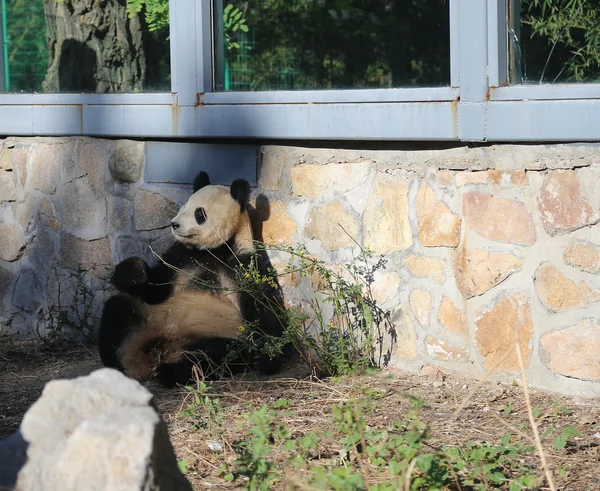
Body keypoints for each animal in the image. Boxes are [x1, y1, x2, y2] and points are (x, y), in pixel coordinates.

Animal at [96, 173, 288, 388]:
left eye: (199, 213)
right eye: (184, 206)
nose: (174, 224)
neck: (216, 249)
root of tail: (161, 350)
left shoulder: (244, 265)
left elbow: (263, 305)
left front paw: (266, 358)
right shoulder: (181, 258)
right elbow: (155, 289)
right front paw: (135, 273)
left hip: (213, 332)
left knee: (219, 353)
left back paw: (167, 372)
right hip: (146, 319)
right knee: (118, 311)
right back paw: (118, 367)